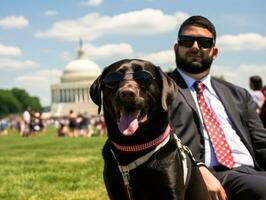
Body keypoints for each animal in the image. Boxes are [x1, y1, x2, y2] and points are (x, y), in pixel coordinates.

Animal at [89, 59, 208, 200]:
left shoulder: (171, 190)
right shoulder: (116, 191)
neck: (134, 146)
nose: (127, 93)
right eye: (112, 80)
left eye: (144, 78)